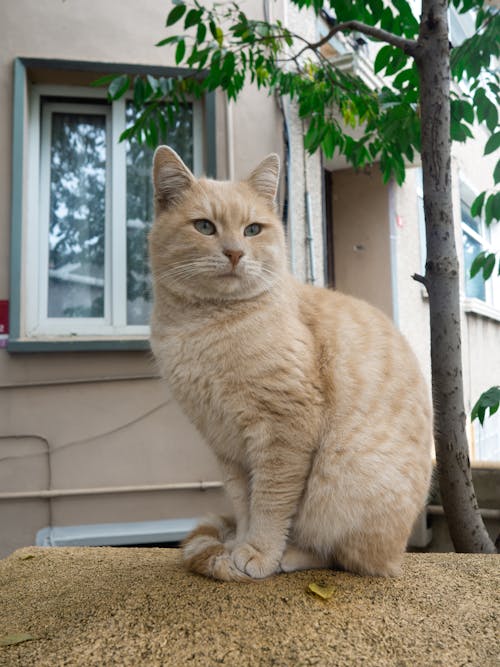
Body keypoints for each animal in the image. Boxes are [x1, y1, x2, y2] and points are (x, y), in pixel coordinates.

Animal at [149, 145, 434, 580]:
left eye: (252, 230)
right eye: (204, 227)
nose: (235, 252)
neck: (201, 327)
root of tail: (399, 552)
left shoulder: (283, 426)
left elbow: (270, 501)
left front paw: (258, 551)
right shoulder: (225, 444)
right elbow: (244, 502)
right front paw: (239, 542)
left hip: (344, 486)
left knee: (346, 557)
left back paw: (293, 555)